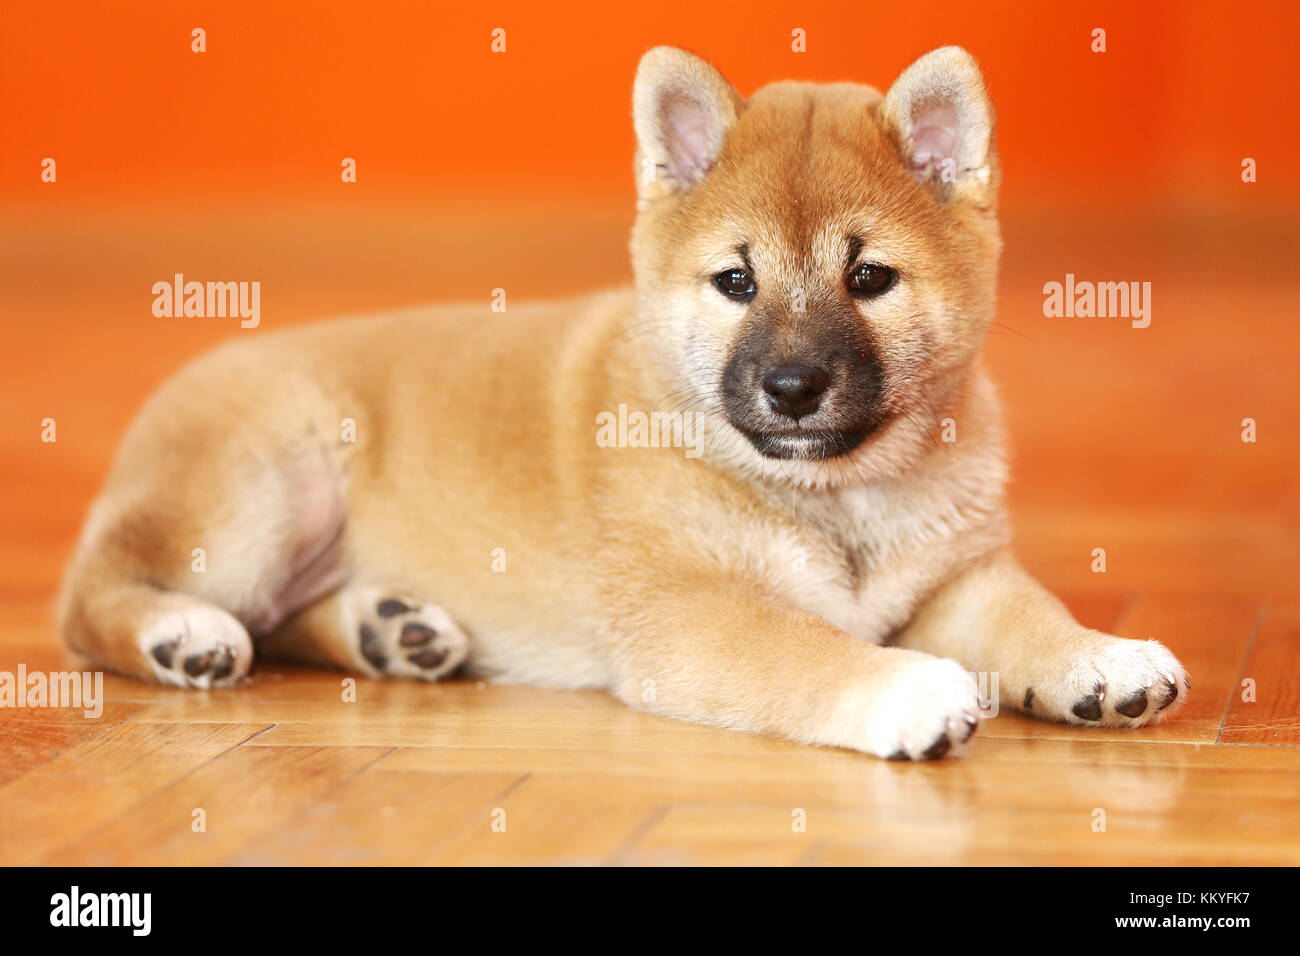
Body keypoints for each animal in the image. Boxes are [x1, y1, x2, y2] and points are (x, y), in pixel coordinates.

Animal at [58, 46, 1190, 764]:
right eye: (736, 282)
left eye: (870, 278)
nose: (791, 388)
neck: (839, 498)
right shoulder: (692, 613)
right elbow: (806, 650)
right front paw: (902, 686)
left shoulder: (958, 581)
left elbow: (1033, 614)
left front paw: (1099, 657)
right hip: (257, 500)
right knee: (90, 604)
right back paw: (182, 635)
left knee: (282, 618)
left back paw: (390, 631)